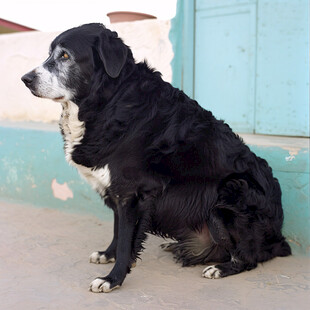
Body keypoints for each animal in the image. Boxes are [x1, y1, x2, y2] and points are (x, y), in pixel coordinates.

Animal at [21, 23, 290, 292]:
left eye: (65, 55)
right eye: (49, 54)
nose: (25, 79)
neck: (111, 100)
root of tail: (279, 238)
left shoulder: (133, 193)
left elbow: (126, 240)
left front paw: (113, 278)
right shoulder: (118, 190)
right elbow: (118, 231)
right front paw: (108, 255)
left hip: (230, 192)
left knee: (249, 257)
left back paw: (221, 268)